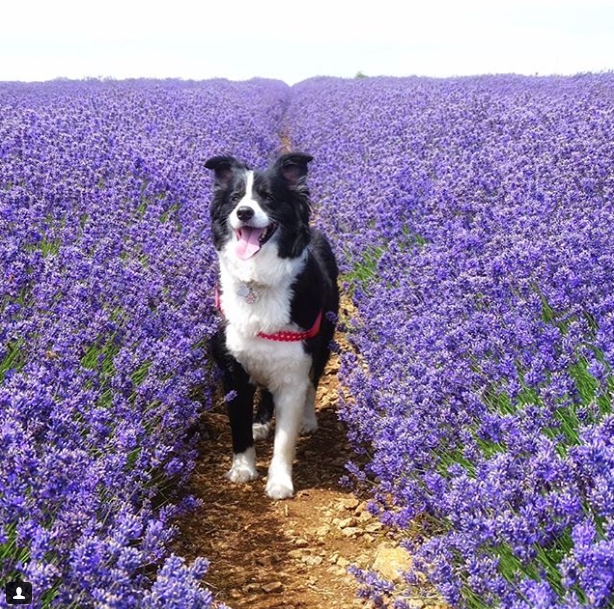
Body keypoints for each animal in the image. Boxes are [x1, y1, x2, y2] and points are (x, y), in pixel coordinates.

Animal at [207, 151, 342, 498]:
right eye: (235, 198)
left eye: (268, 198)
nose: (244, 213)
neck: (258, 280)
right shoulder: (233, 368)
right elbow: (239, 430)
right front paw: (243, 469)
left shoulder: (294, 369)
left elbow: (285, 439)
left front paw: (279, 482)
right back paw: (261, 421)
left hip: (322, 344)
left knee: (313, 384)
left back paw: (308, 420)